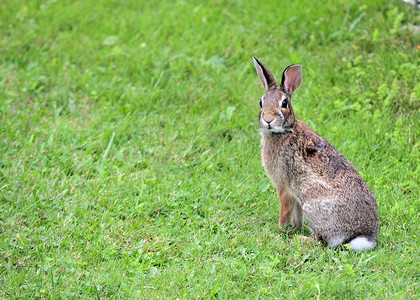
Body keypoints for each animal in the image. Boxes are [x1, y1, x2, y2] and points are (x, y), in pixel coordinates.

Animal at [253, 56, 380, 251]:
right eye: (261, 102)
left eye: (284, 103)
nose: (268, 120)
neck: (284, 131)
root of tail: (361, 235)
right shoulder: (295, 195)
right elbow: (296, 215)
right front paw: (295, 228)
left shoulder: (284, 188)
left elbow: (284, 212)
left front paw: (279, 231)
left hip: (312, 200)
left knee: (322, 242)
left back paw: (301, 240)